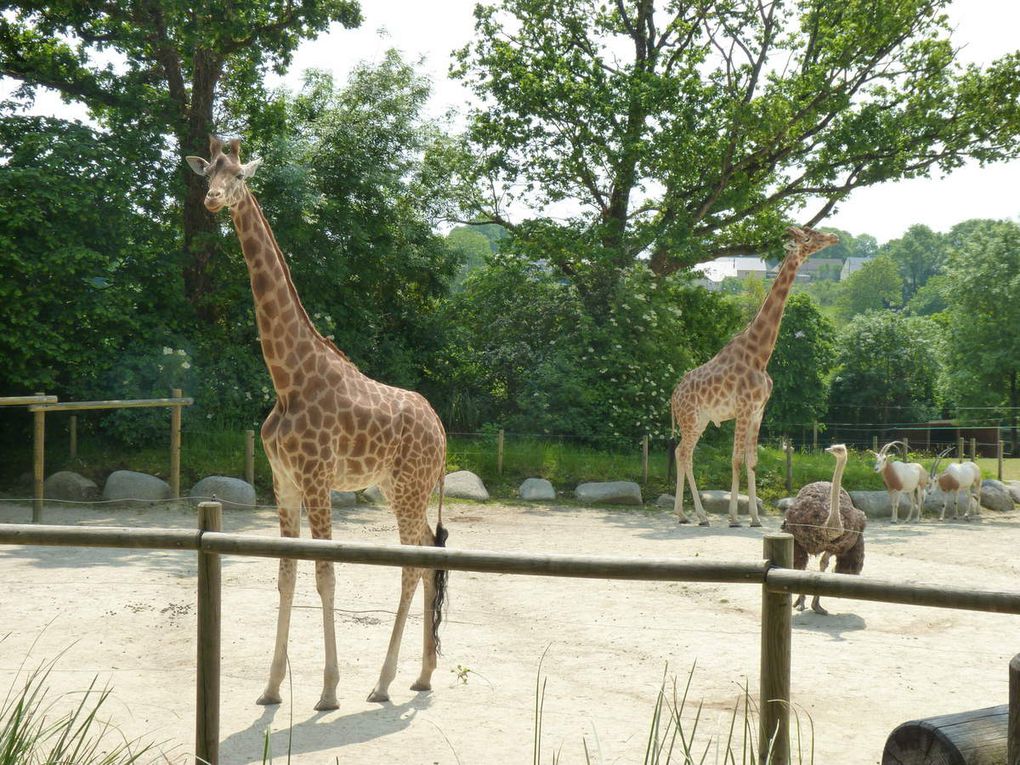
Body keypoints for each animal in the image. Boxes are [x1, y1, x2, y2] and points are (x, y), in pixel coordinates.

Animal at [187, 136, 450, 705]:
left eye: (240, 174)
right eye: (207, 172)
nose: (212, 201)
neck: (288, 380)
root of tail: (442, 428)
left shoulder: (316, 478)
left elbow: (325, 572)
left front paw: (329, 690)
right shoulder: (283, 481)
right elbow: (285, 573)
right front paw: (270, 688)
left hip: (410, 486)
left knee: (413, 562)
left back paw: (383, 682)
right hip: (400, 486)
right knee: (428, 552)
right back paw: (421, 675)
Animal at [669, 224, 836, 530]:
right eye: (808, 237)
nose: (834, 237)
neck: (760, 355)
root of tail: (673, 396)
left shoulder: (759, 411)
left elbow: (752, 460)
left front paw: (756, 519)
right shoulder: (744, 409)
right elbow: (735, 459)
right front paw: (735, 517)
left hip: (699, 421)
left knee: (679, 452)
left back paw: (684, 514)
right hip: (691, 419)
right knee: (685, 454)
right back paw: (700, 515)